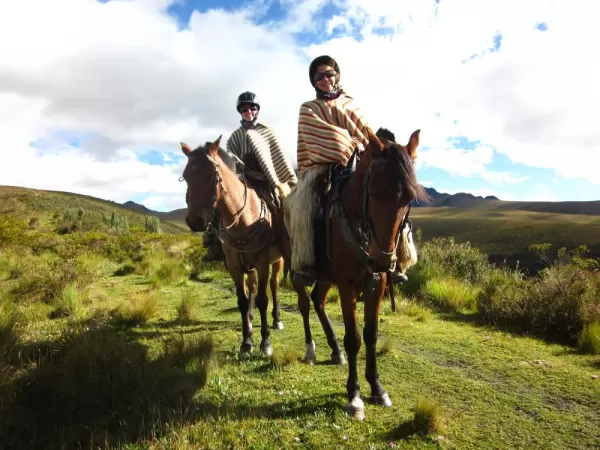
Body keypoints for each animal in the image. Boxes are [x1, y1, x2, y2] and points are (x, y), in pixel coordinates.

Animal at [179, 136, 290, 356]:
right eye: (186, 176)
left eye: (211, 175)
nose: (195, 221)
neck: (242, 219)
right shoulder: (234, 265)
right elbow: (242, 300)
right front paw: (246, 341)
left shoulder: (262, 262)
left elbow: (263, 299)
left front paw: (265, 342)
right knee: (252, 287)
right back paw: (251, 317)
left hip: (278, 260)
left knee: (274, 285)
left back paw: (276, 319)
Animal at [286, 125, 426, 418]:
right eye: (371, 193)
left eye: (410, 198)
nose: (383, 258)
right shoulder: (347, 285)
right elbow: (354, 338)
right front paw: (354, 395)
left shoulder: (378, 284)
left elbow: (371, 336)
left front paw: (377, 388)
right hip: (297, 267)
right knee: (304, 303)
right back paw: (311, 350)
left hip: (327, 277)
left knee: (318, 300)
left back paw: (334, 349)